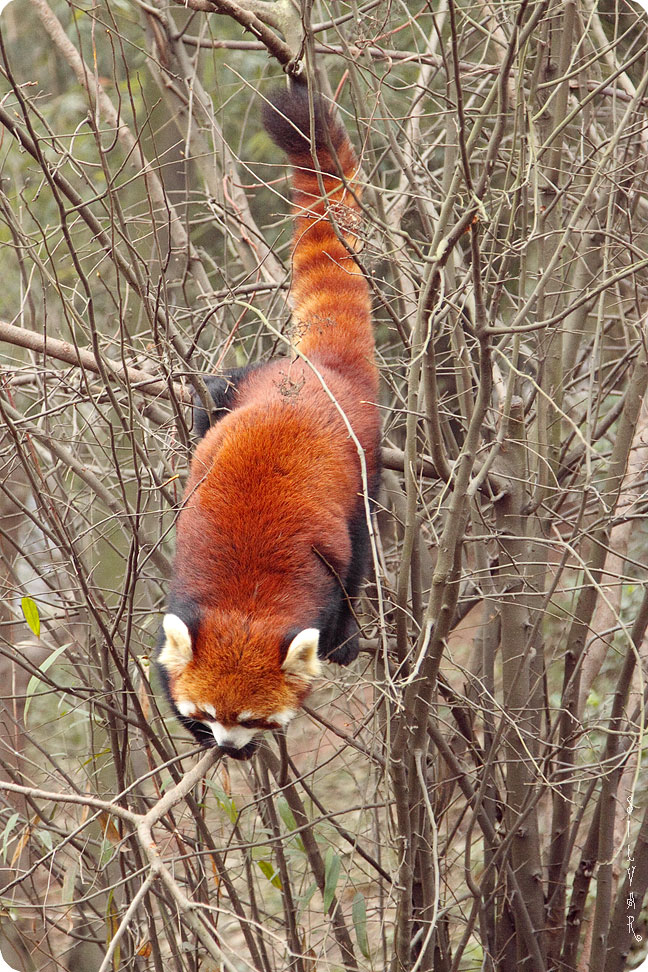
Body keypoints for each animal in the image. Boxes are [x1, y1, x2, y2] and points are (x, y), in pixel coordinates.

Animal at [156, 81, 380, 760]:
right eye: (208, 711)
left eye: (255, 718)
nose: (231, 748)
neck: (246, 603)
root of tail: (316, 374)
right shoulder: (189, 594)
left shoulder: (317, 577)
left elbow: (342, 581)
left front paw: (342, 639)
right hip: (247, 385)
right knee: (219, 390)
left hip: (364, 462)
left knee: (364, 535)